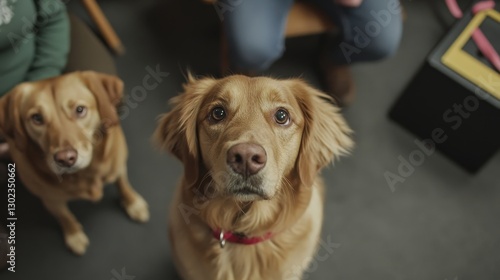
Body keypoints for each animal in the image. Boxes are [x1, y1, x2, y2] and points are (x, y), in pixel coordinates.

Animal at [0, 71, 148, 255]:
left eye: (79, 110)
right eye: (37, 118)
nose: (65, 158)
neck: (84, 174)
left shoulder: (119, 166)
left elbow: (123, 185)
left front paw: (133, 203)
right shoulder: (51, 200)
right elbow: (65, 217)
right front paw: (74, 235)